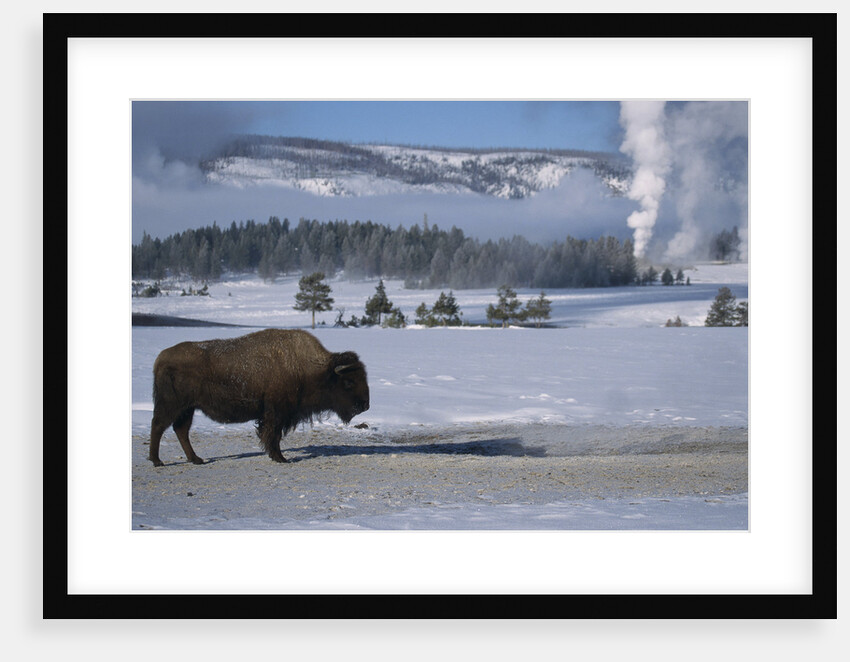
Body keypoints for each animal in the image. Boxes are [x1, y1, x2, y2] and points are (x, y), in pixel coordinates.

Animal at [149, 329, 369, 466]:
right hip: (173, 405)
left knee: (181, 430)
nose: (365, 405)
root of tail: (160, 358)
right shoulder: (276, 412)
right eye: (349, 382)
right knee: (159, 425)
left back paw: (196, 459)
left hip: (188, 408)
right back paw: (157, 461)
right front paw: (280, 458)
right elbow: (273, 435)